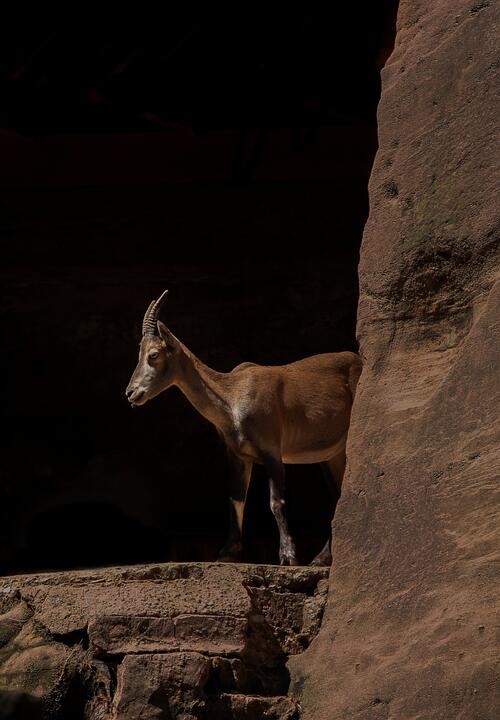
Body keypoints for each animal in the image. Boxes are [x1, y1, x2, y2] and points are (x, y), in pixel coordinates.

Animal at [124, 290, 360, 564]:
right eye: (139, 354)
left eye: (153, 354)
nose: (131, 393)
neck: (232, 397)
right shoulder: (238, 455)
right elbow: (236, 499)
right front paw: (227, 552)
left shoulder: (272, 450)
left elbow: (276, 501)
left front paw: (288, 555)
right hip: (331, 456)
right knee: (338, 494)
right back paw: (320, 558)